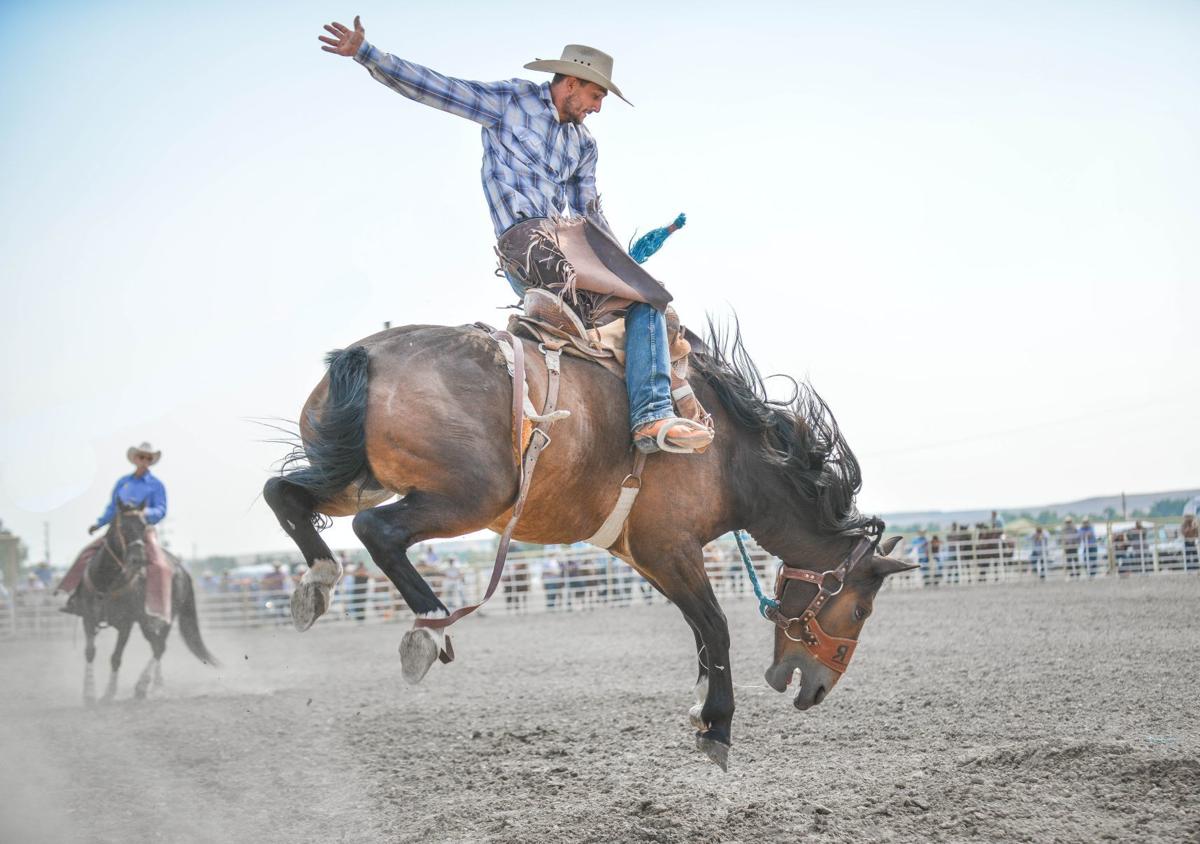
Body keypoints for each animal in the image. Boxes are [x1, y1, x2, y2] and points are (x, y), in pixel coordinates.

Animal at [265, 319, 916, 768]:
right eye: (861, 609)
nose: (813, 689)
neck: (731, 457)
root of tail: (367, 355)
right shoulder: (670, 548)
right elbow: (716, 626)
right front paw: (718, 728)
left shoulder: (646, 556)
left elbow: (699, 629)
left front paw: (700, 708)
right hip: (468, 495)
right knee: (375, 531)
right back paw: (430, 628)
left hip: (356, 476)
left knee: (283, 494)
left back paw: (317, 585)